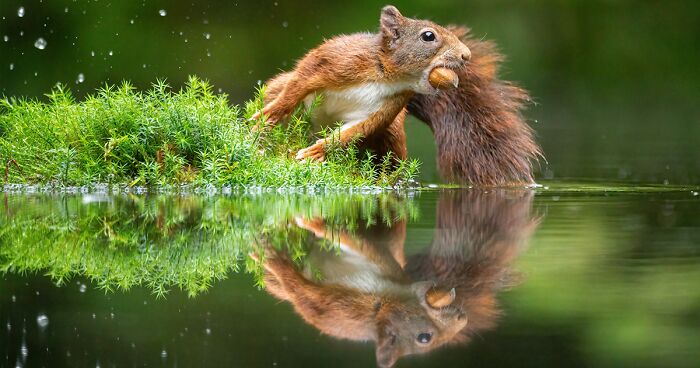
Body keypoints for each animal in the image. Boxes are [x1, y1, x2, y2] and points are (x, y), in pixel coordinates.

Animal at [253, 5, 470, 162]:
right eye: (428, 36)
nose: (466, 55)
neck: (390, 79)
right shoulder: (336, 59)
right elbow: (300, 80)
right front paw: (270, 115)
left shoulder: (388, 105)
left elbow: (354, 131)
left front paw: (316, 152)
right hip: (278, 88)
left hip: (393, 135)